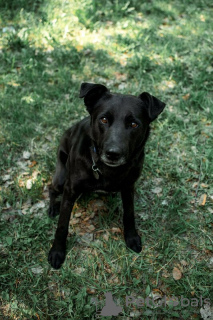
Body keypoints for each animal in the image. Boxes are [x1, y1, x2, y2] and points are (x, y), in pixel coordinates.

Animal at [47, 82, 166, 268]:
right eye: (103, 120)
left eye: (134, 124)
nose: (113, 153)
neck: (106, 168)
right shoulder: (70, 190)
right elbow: (62, 225)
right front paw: (57, 251)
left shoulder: (128, 187)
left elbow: (129, 214)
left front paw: (131, 237)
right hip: (61, 177)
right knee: (51, 188)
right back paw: (53, 207)